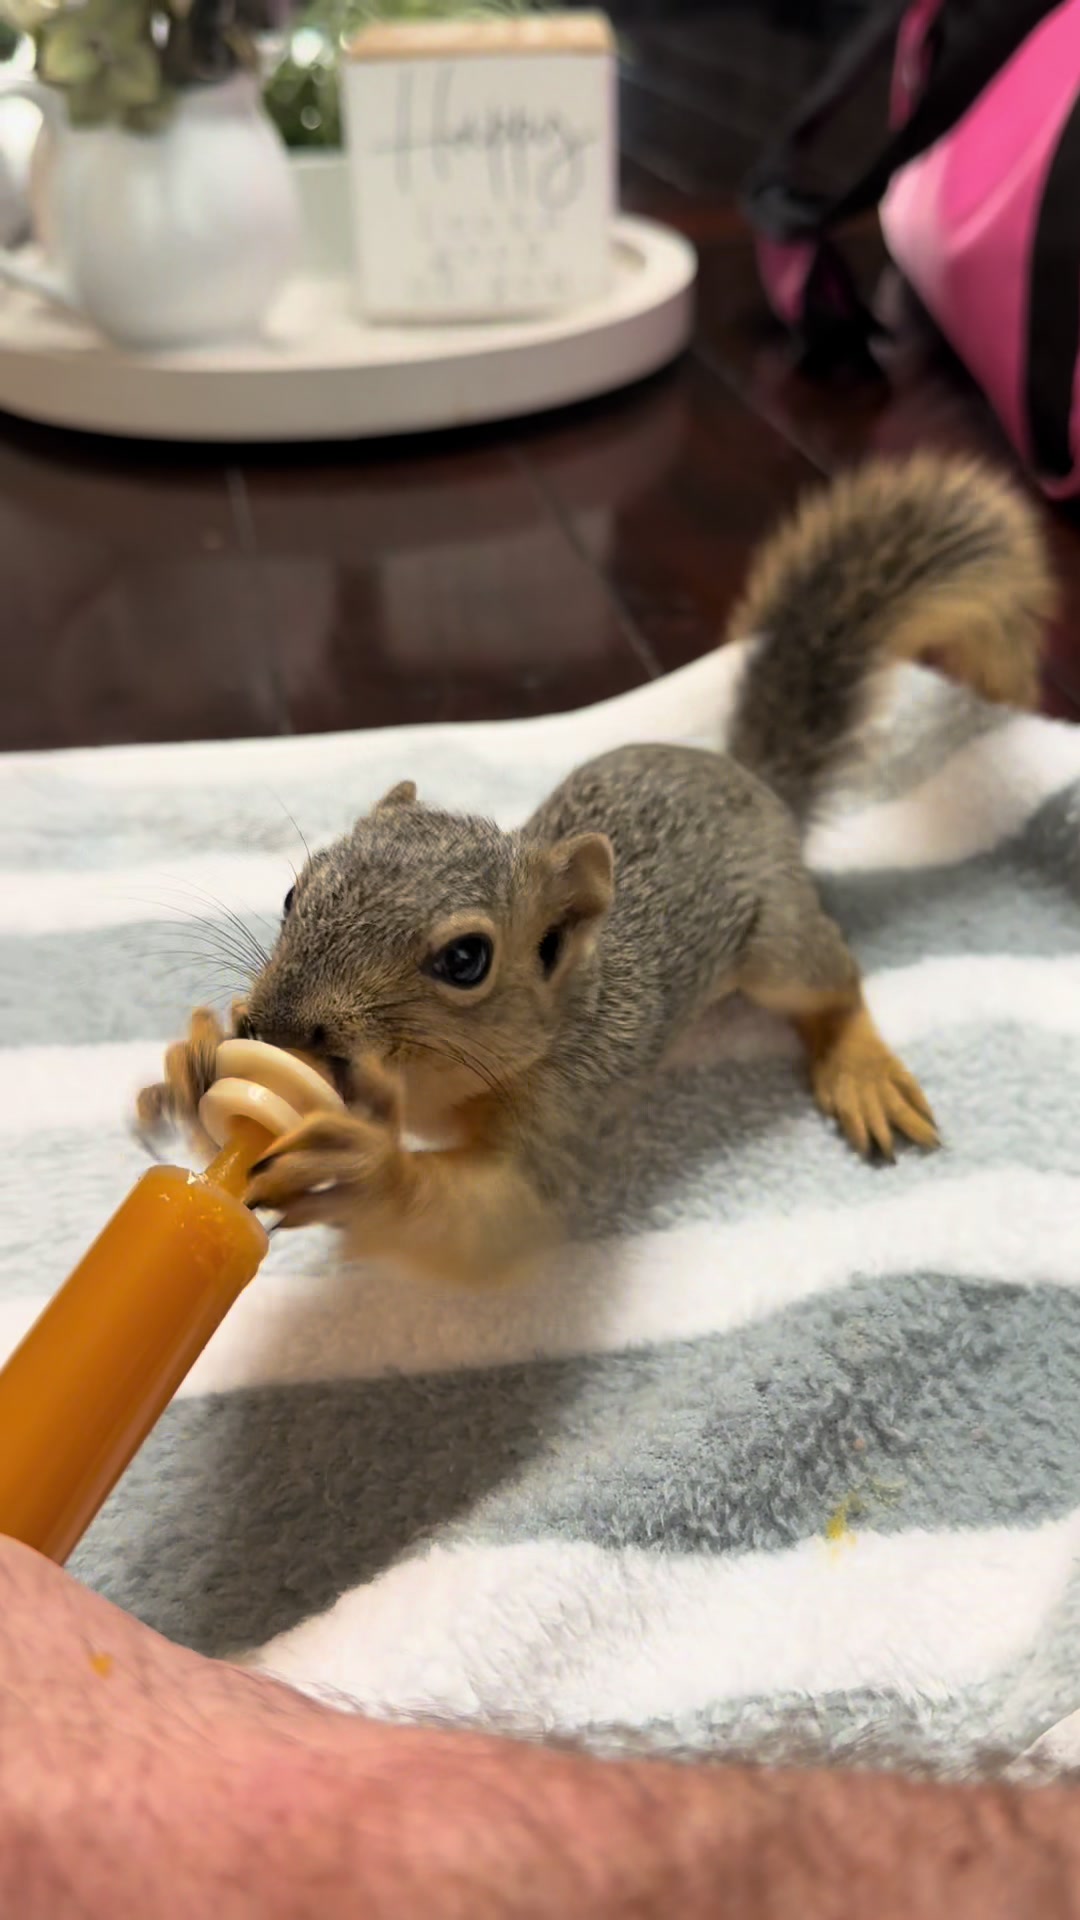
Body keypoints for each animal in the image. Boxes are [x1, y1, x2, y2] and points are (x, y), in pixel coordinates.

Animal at [137, 454, 1053, 1286]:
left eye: (466, 960)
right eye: (296, 890)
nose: (277, 1024)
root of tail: (752, 781)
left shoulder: (567, 1106)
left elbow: (498, 1222)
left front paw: (366, 1170)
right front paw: (193, 1064)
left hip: (778, 948)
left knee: (837, 979)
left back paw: (861, 1069)